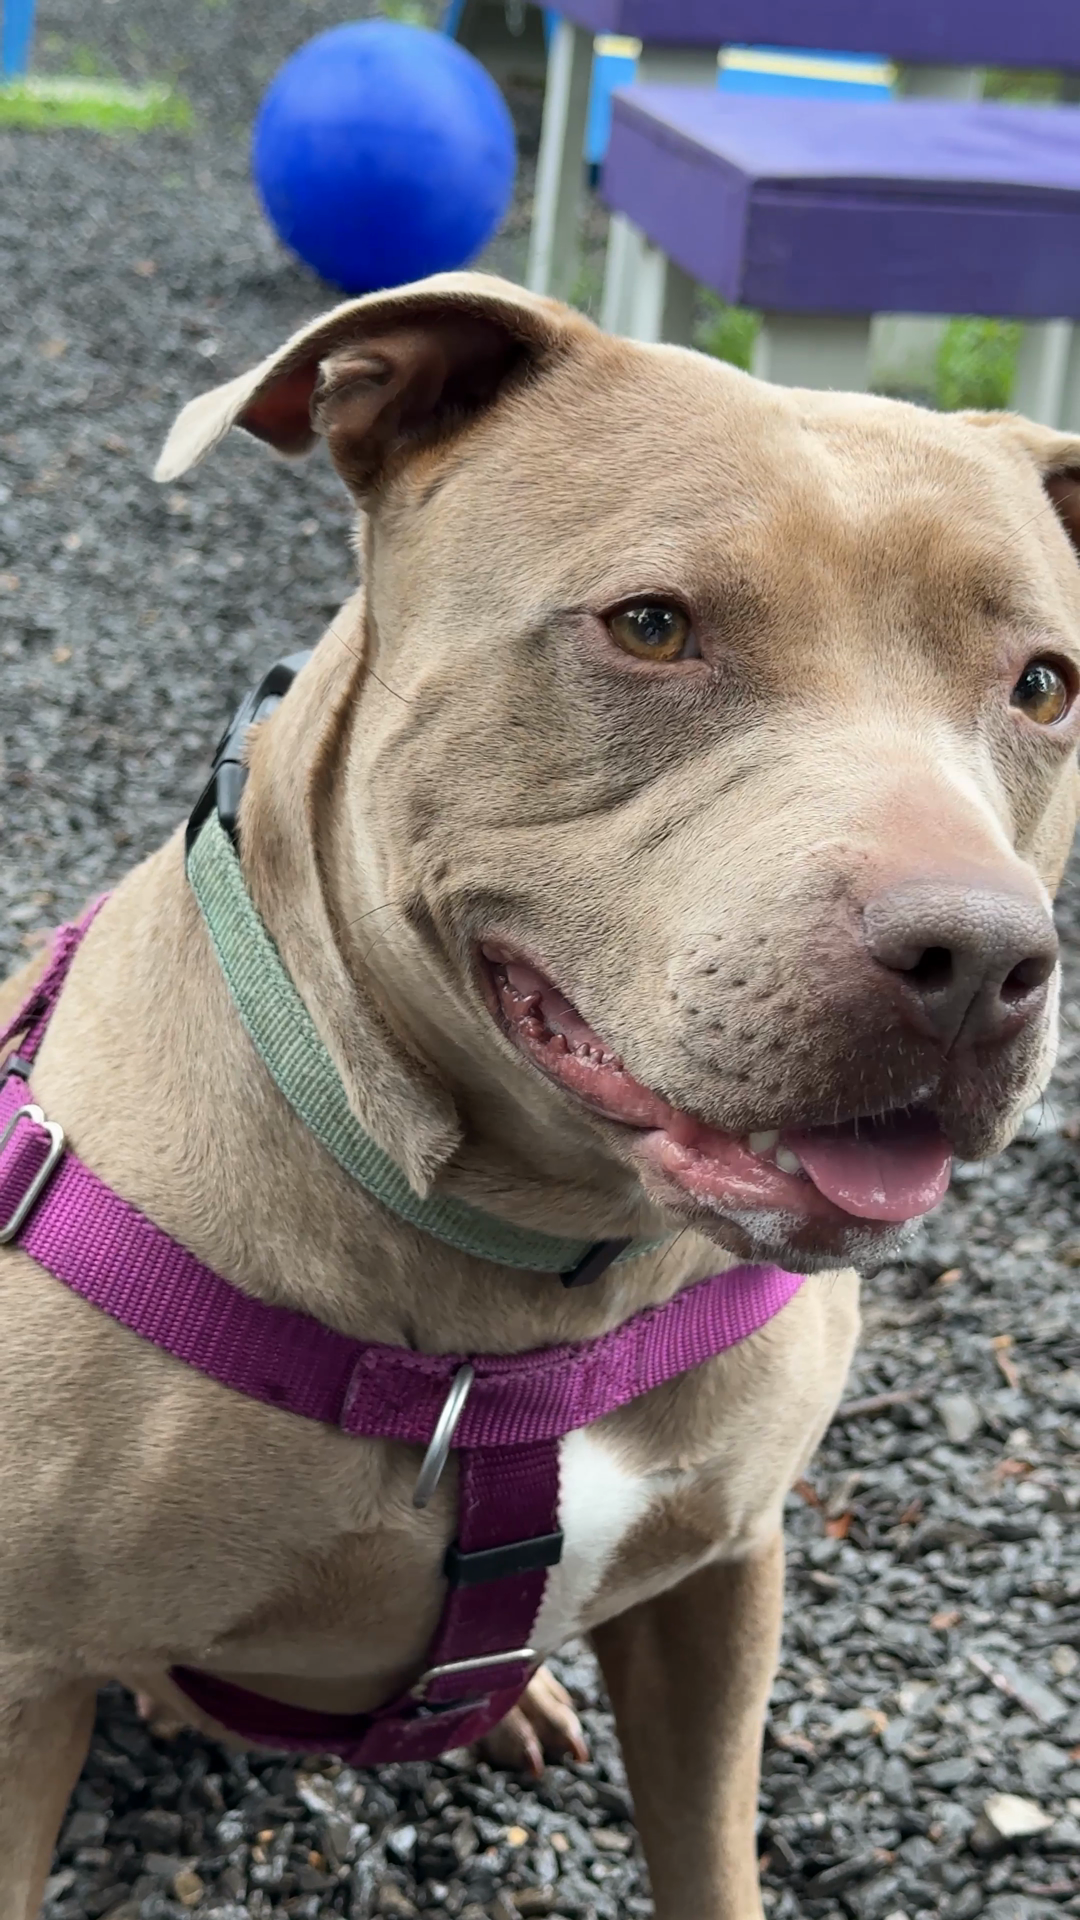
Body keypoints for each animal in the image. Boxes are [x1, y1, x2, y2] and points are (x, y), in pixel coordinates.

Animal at [2, 271, 1080, 1920]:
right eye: (650, 626)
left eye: (1042, 684)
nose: (977, 961)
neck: (533, 1284)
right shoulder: (20, 1681)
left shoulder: (727, 1579)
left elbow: (708, 1852)